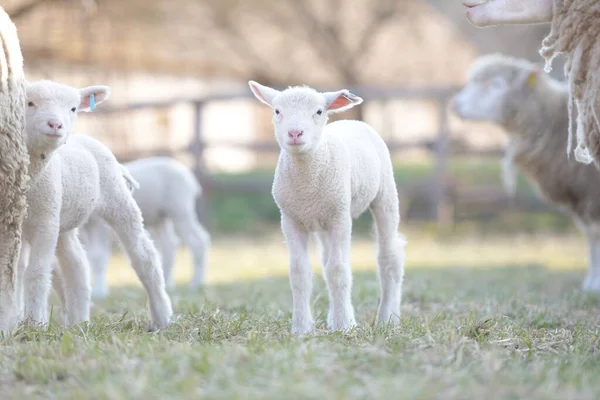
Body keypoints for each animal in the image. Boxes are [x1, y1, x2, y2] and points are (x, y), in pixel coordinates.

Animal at [15, 79, 173, 330]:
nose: (55, 124)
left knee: (144, 256)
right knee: (76, 264)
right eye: (29, 103)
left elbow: (37, 272)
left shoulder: (45, 222)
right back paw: (79, 321)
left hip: (118, 201)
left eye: (72, 108)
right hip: (64, 221)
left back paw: (162, 317)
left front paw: (34, 325)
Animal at [79, 156, 211, 296]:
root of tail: (190, 179)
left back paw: (196, 283)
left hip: (180, 208)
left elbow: (98, 256)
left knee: (198, 241)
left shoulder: (100, 224)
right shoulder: (85, 228)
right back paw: (167, 283)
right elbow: (90, 257)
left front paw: (99, 291)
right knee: (169, 246)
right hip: (161, 217)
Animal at [246, 80, 406, 334]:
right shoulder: (291, 219)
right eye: (277, 111)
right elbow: (300, 272)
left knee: (389, 257)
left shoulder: (339, 218)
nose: (295, 133)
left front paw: (343, 326)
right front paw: (301, 328)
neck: (307, 186)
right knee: (326, 259)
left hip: (385, 194)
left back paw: (387, 318)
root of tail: (352, 121)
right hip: (323, 220)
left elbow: (338, 271)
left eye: (319, 111)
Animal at [450, 53, 600, 290]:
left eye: (496, 84)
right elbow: (591, 235)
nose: (454, 104)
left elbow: (594, 233)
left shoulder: (591, 191)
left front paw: (595, 285)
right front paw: (591, 283)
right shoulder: (582, 193)